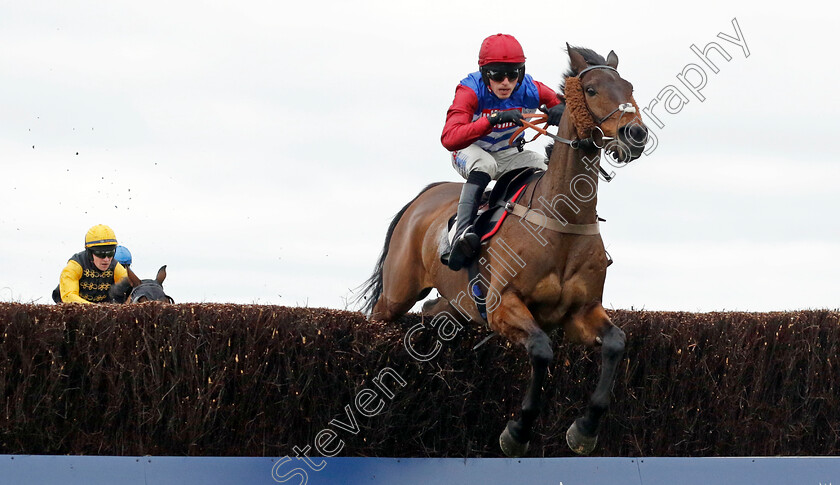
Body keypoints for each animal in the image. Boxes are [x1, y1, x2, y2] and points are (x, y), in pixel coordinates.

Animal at [358, 44, 648, 454]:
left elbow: (615, 344)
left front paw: (585, 429)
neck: (561, 219)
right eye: (591, 89)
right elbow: (541, 350)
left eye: (630, 87)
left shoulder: (581, 312)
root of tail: (425, 196)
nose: (635, 133)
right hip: (397, 294)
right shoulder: (502, 305)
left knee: (432, 311)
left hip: (456, 302)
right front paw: (518, 431)